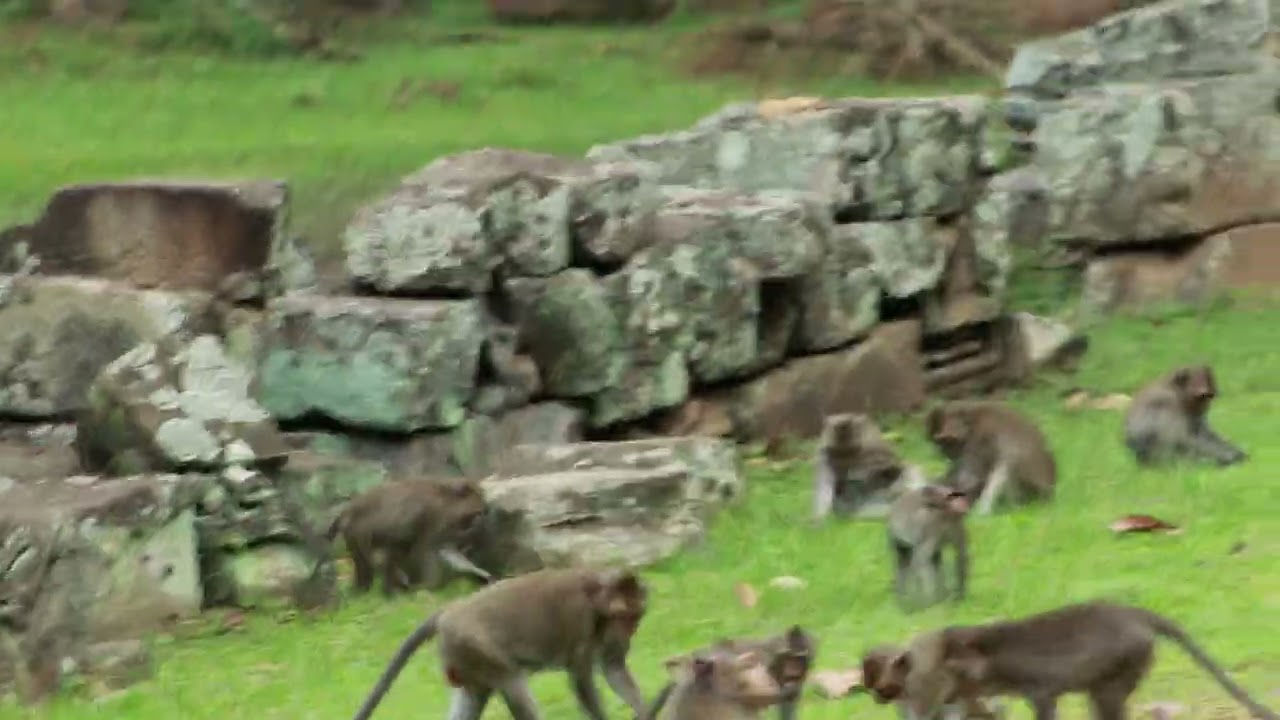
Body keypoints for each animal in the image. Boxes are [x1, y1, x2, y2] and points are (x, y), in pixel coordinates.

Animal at [326, 477, 494, 596]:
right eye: (478, 511)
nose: (483, 515)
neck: (445, 499)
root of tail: (346, 512)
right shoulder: (432, 519)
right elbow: (426, 551)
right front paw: (429, 586)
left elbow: (446, 548)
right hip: (359, 533)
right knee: (372, 560)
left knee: (388, 555)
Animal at [348, 567, 649, 720]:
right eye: (626, 618)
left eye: (636, 617)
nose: (631, 632)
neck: (596, 599)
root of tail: (448, 612)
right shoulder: (580, 620)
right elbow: (582, 679)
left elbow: (614, 668)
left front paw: (645, 712)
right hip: (477, 650)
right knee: (514, 686)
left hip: (465, 661)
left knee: (473, 699)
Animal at [883, 601, 1280, 720]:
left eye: (917, 669)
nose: (904, 659)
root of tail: (1136, 613)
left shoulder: (1036, 686)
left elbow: (1044, 703)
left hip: (1123, 660)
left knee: (1108, 701)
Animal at [924, 401, 1056, 516]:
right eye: (938, 442)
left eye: (945, 441)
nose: (942, 451)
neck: (970, 421)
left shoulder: (978, 439)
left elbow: (969, 479)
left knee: (1006, 466)